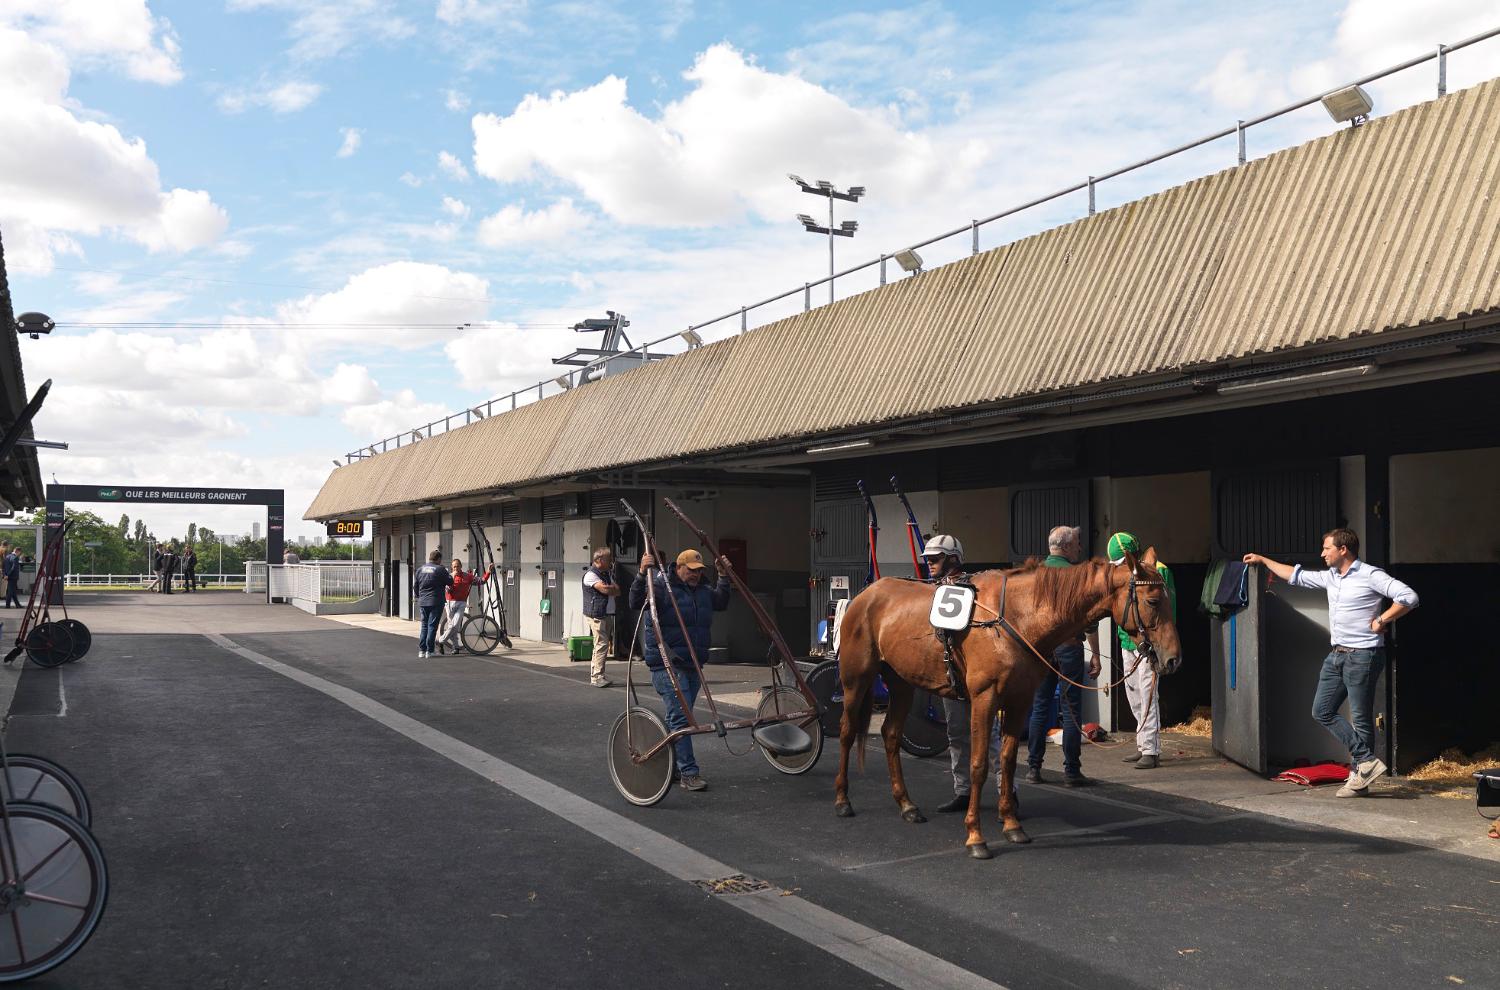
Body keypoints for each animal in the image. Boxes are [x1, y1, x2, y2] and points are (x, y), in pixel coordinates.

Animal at [840, 549, 1176, 858]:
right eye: (1152, 601)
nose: (1173, 658)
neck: (1014, 618)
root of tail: (865, 595)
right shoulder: (984, 698)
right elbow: (978, 765)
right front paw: (975, 836)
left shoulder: (1020, 700)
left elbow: (1008, 761)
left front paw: (1012, 824)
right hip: (855, 679)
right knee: (846, 732)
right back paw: (843, 801)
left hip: (901, 683)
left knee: (891, 734)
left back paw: (907, 805)